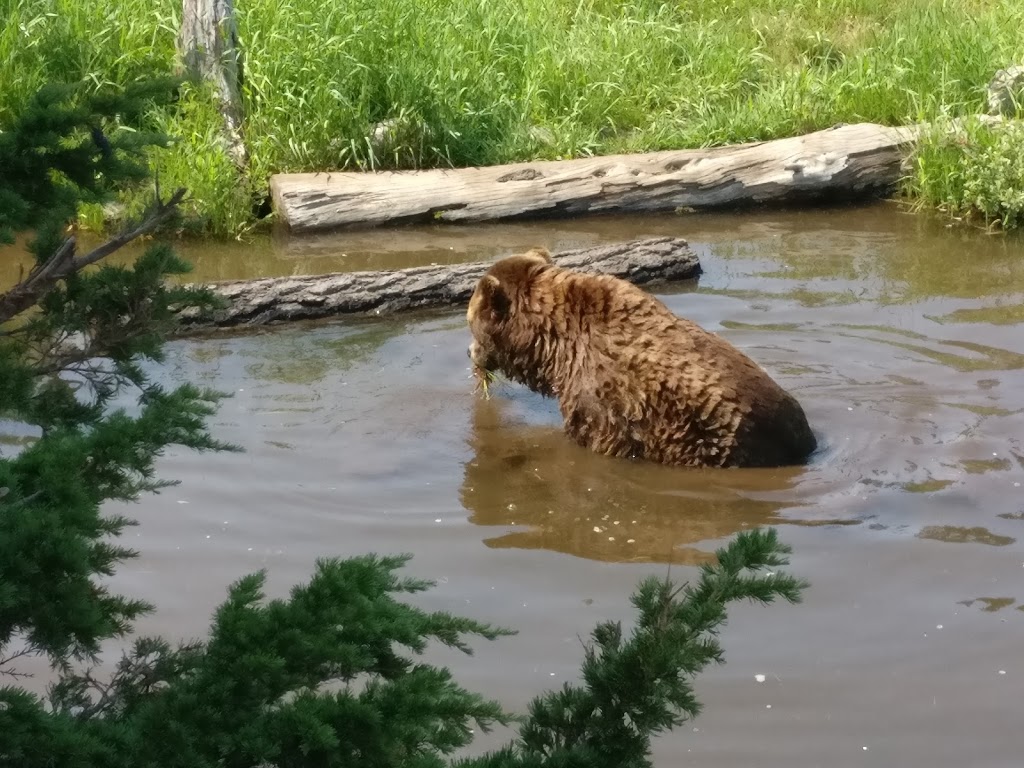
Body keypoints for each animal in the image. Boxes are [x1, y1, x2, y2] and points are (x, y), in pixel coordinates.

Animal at [468, 249, 819, 473]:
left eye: (471, 323)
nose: (469, 352)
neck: (554, 345)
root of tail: (806, 442)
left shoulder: (599, 396)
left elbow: (595, 437)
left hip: (718, 444)